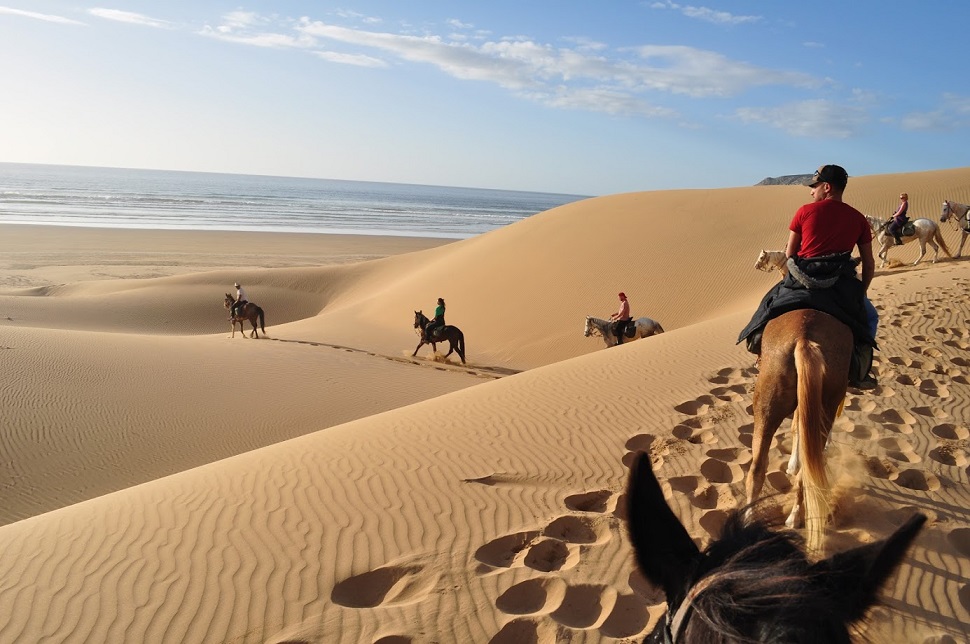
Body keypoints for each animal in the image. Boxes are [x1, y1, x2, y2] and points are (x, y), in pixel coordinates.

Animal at [740, 310, 848, 552]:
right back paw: (795, 518)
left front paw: (792, 463)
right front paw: (793, 463)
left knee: (757, 468)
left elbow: (797, 425)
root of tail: (803, 339)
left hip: (767, 403)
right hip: (823, 403)